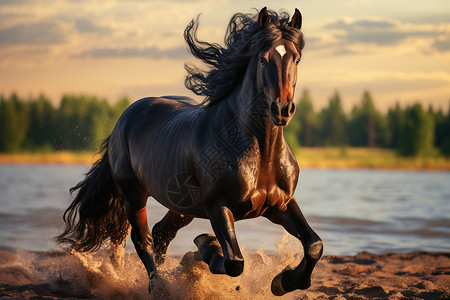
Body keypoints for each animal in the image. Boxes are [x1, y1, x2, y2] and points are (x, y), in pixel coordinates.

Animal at [57, 7, 324, 296]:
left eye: (296, 59)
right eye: (263, 59)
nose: (283, 109)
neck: (259, 153)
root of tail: (122, 121)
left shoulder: (281, 205)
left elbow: (314, 245)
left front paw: (283, 282)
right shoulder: (218, 206)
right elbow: (233, 262)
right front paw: (207, 246)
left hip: (182, 205)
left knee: (161, 233)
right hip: (134, 196)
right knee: (142, 240)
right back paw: (159, 285)